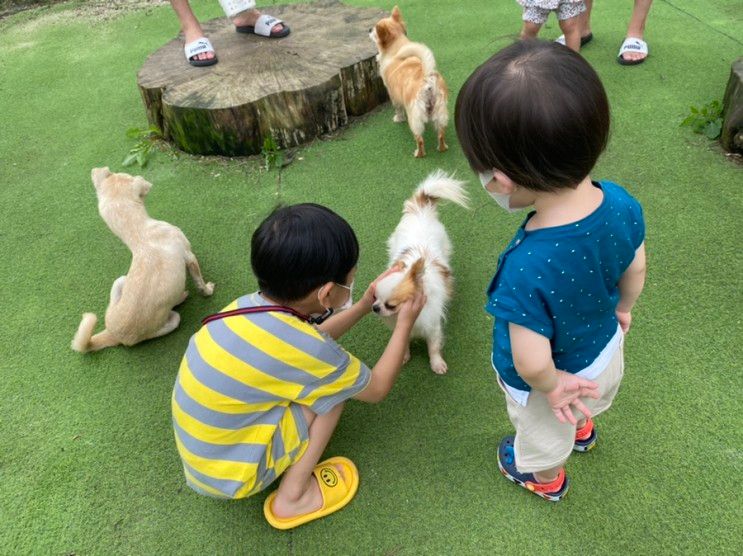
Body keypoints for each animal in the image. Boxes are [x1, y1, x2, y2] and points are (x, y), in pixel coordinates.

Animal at [71, 167, 215, 354]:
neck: (140, 233)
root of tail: (112, 334)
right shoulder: (189, 257)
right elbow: (199, 282)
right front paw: (208, 290)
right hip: (172, 321)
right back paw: (181, 297)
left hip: (120, 280)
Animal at [370, 5, 450, 159]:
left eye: (375, 31)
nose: (369, 29)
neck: (397, 46)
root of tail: (427, 78)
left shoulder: (393, 94)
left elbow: (397, 108)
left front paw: (398, 118)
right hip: (440, 113)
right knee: (441, 135)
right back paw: (442, 148)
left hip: (415, 118)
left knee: (419, 139)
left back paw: (418, 153)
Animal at [372, 170, 470, 374]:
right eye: (374, 297)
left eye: (390, 305)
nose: (375, 307)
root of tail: (421, 208)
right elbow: (403, 343)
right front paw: (404, 355)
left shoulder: (432, 327)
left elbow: (433, 347)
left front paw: (436, 363)